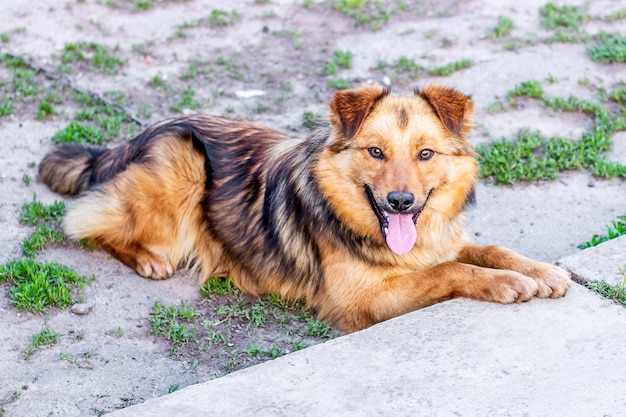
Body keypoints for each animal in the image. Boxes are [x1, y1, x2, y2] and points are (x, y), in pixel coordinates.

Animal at [36, 83, 568, 332]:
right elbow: (448, 272)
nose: (400, 201)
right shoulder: (361, 301)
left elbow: (488, 251)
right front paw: (505, 283)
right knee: (87, 221)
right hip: (182, 162)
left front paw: (539, 271)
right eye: (376, 152)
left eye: (425, 154)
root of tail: (134, 137)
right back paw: (147, 258)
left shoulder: (441, 241)